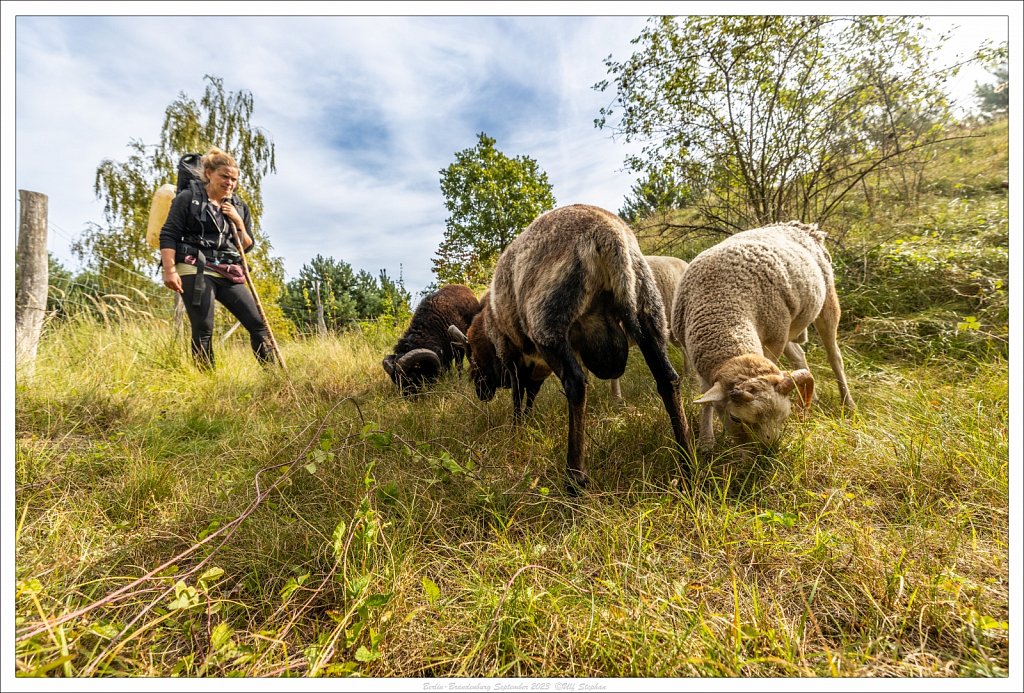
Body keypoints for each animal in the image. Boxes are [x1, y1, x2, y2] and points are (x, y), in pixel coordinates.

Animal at [446, 202, 688, 489]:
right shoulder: (537, 367)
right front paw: (528, 423)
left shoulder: (511, 354)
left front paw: (516, 429)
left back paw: (574, 479)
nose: (480, 394)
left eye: (473, 360)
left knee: (576, 383)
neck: (487, 322)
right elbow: (530, 395)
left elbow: (517, 396)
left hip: (548, 321)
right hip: (647, 310)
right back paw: (687, 462)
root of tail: (609, 234)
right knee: (668, 379)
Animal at [671, 219, 856, 450]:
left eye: (783, 417)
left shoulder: (773, 341)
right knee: (799, 355)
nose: (768, 452)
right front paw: (706, 442)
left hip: (824, 304)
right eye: (735, 418)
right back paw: (812, 401)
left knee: (835, 357)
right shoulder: (695, 353)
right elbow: (706, 397)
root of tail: (803, 227)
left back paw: (848, 403)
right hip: (786, 325)